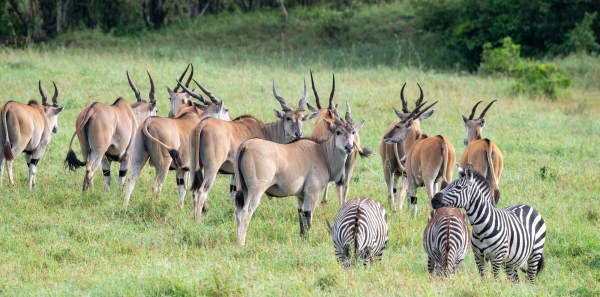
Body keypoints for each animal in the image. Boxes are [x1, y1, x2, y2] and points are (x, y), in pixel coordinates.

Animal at [189, 78, 318, 220]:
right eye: (288, 118)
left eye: (302, 119)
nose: (298, 134)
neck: (268, 131)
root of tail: (201, 125)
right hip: (212, 167)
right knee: (202, 190)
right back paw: (198, 220)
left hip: (195, 166)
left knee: (194, 190)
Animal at [234, 102, 366, 245]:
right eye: (338, 132)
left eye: (353, 132)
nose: (349, 147)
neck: (322, 152)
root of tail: (245, 146)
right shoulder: (311, 194)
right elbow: (308, 218)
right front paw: (308, 241)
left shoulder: (300, 196)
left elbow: (301, 217)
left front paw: (302, 238)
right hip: (256, 190)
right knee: (246, 212)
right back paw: (241, 243)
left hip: (244, 189)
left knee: (238, 211)